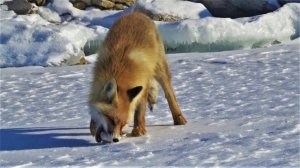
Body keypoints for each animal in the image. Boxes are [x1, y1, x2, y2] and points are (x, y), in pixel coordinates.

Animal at [88, 12, 188, 143]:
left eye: (122, 124)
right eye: (112, 120)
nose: (116, 140)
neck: (118, 70)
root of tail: (138, 13)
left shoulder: (142, 82)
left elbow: (139, 111)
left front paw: (138, 130)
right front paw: (94, 126)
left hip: (160, 70)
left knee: (170, 95)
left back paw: (179, 118)